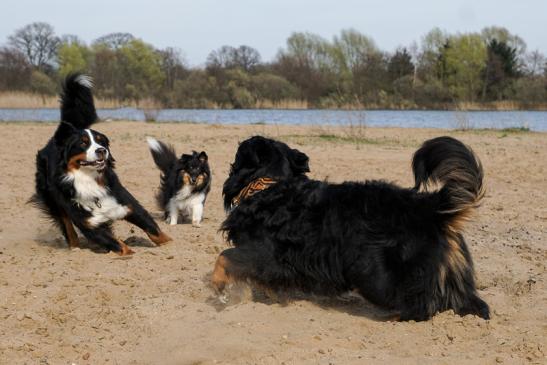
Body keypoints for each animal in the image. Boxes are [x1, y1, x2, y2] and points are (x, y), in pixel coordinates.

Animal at [30, 73, 171, 255]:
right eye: (83, 143)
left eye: (100, 141)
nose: (102, 150)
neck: (90, 180)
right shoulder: (90, 225)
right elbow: (118, 244)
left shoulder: (129, 206)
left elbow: (154, 230)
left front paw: (169, 243)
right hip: (54, 200)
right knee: (67, 226)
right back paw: (75, 247)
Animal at [212, 135, 490, 320]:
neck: (269, 185)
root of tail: (429, 206)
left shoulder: (262, 252)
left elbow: (224, 257)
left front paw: (219, 287)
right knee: (473, 304)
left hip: (375, 273)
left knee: (421, 305)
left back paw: (396, 317)